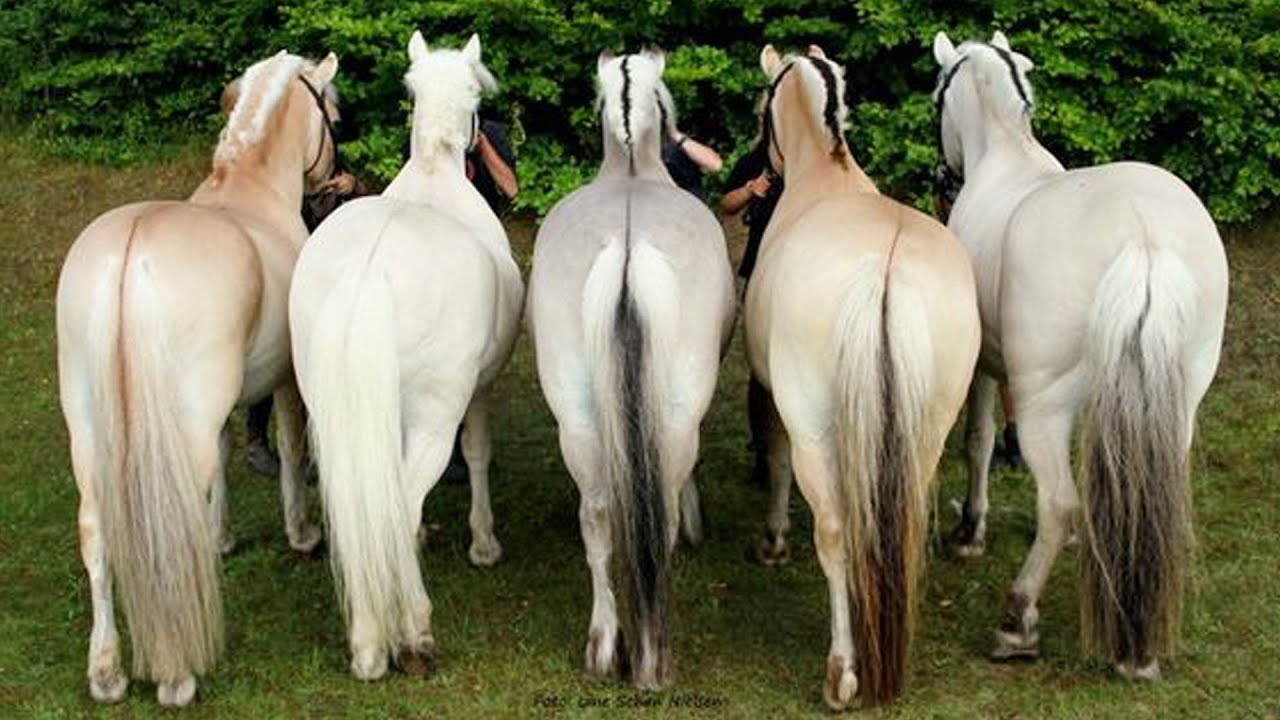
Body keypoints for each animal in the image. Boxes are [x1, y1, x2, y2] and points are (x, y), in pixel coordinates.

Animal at [55, 50, 340, 706]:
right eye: (332, 114)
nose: (333, 182)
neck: (251, 193)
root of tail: (129, 258)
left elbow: (228, 449)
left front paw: (220, 537)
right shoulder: (286, 379)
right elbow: (290, 449)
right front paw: (302, 532)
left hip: (88, 429)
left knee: (95, 533)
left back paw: (106, 672)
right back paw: (176, 676)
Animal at [288, 32, 522, 681]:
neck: (434, 175)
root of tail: (367, 274)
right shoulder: (477, 390)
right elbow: (478, 453)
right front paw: (485, 543)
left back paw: (368, 640)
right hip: (436, 414)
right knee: (404, 496)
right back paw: (412, 632)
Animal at [527, 49, 735, 690]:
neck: (632, 173)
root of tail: (625, 247)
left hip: (575, 414)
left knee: (595, 515)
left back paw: (603, 647)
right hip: (677, 413)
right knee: (658, 507)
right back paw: (651, 655)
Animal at [745, 45, 980, 708]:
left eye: (761, 106)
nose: (760, 168)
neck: (826, 176)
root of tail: (886, 272)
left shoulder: (776, 400)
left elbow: (775, 461)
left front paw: (773, 541)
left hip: (816, 430)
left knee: (834, 531)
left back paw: (844, 670)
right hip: (927, 431)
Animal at [932, 31, 1229, 679]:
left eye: (937, 92)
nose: (942, 176)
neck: (1007, 155)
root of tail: (1143, 235)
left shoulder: (986, 366)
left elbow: (979, 441)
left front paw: (970, 531)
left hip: (1042, 401)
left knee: (1060, 502)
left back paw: (1017, 622)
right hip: (1179, 398)